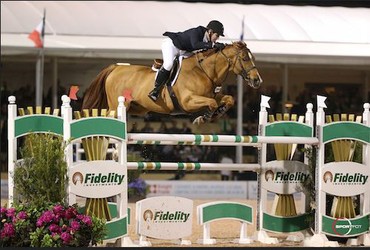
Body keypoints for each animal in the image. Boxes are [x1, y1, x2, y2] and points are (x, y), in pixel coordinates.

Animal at [81, 41, 264, 124]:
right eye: (245, 58)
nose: (257, 80)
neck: (203, 71)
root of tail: (116, 68)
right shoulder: (188, 101)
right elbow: (211, 103)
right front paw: (203, 118)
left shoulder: (208, 96)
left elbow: (228, 99)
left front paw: (218, 113)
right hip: (117, 104)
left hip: (137, 108)